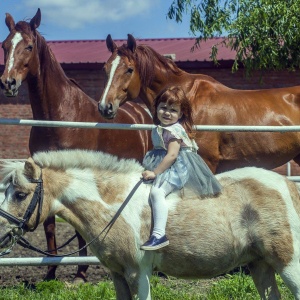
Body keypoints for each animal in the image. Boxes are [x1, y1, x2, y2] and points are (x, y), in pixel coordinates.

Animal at [0, 9, 152, 282]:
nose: (8, 83)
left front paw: (81, 273)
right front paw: (50, 271)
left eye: (28, 46)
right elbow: (49, 223)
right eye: (5, 45)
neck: (58, 117)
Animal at [0, 149, 300, 298]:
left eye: (20, 194)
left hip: (288, 264)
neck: (114, 203)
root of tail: (286, 185)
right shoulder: (118, 275)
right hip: (260, 265)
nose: (2, 236)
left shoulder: (137, 273)